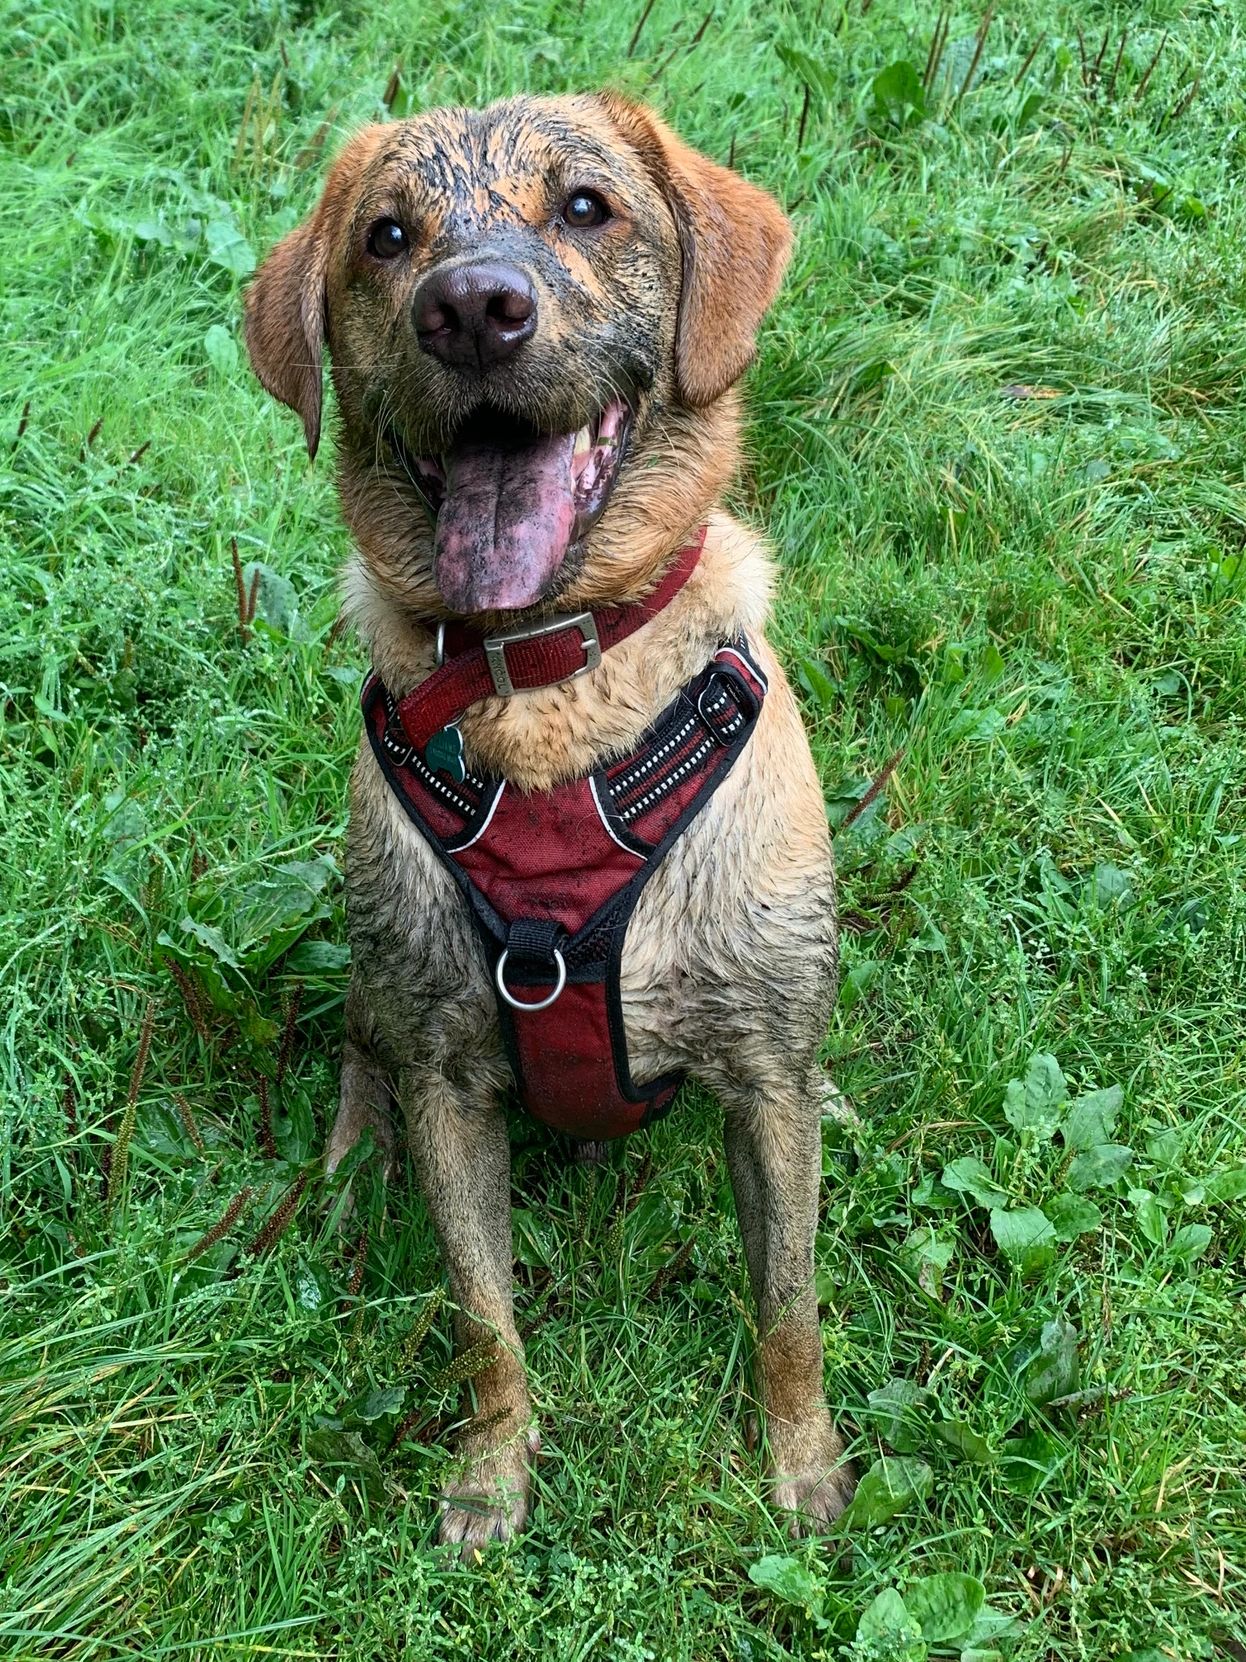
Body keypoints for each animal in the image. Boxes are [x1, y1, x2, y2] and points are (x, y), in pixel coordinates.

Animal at [240, 87, 857, 1542]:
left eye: (585, 208)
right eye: (387, 237)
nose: (472, 308)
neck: (547, 680)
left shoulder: (762, 1075)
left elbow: (788, 1305)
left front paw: (800, 1464)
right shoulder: (451, 1078)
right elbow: (483, 1317)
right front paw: (491, 1466)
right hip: (380, 981)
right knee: (359, 1054)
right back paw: (344, 1168)